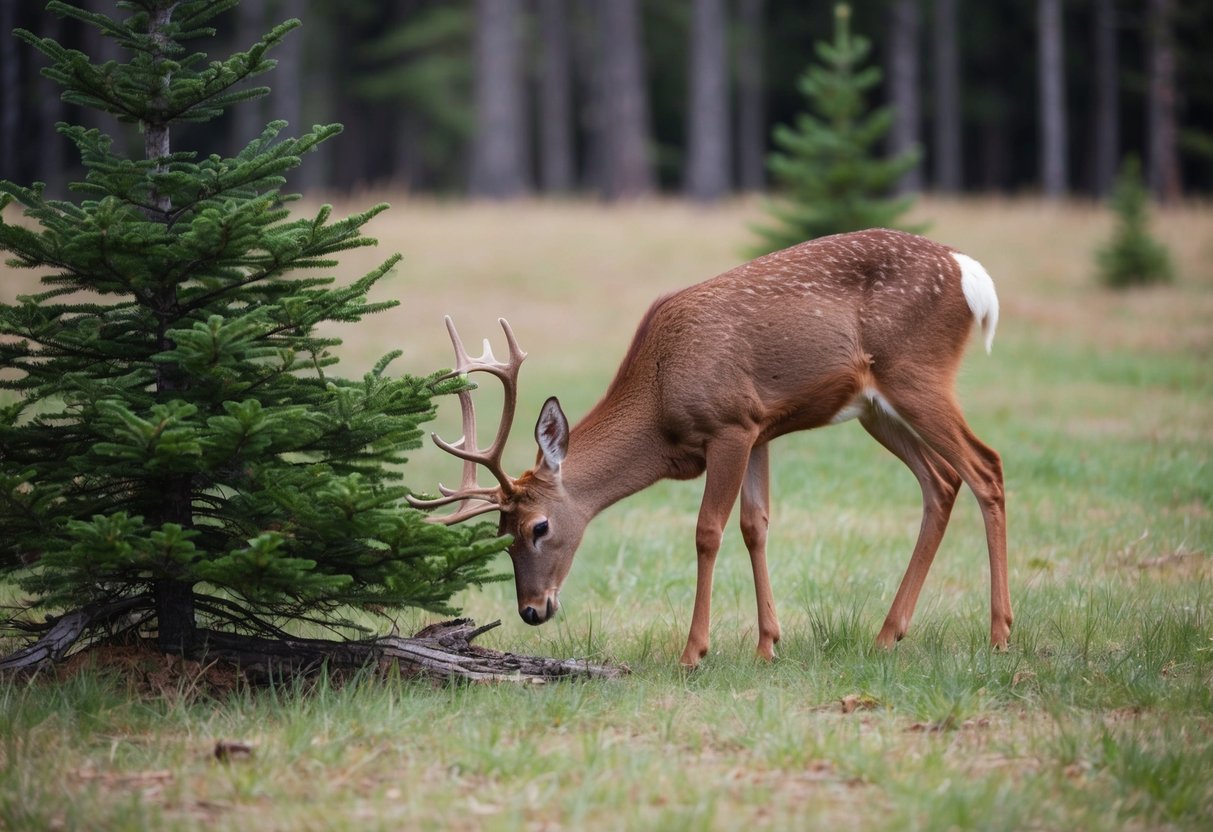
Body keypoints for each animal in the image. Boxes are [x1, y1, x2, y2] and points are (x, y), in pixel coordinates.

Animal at [412, 229, 1009, 669]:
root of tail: (971, 274)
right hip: (875, 409)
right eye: (501, 534)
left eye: (539, 527)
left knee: (987, 467)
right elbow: (755, 525)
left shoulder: (729, 425)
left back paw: (999, 634)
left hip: (916, 373)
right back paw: (888, 634)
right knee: (942, 481)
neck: (660, 410)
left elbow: (708, 531)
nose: (532, 611)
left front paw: (693, 652)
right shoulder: (761, 427)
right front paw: (768, 644)